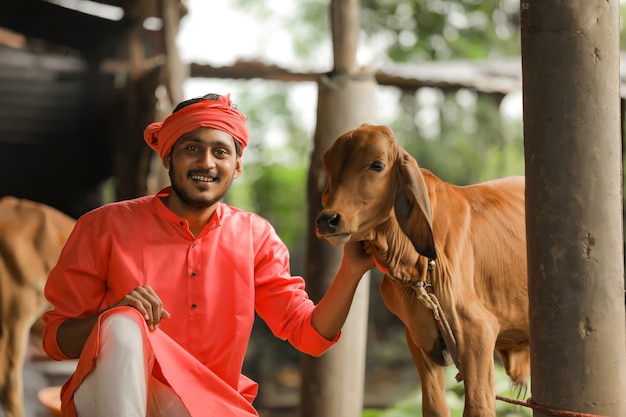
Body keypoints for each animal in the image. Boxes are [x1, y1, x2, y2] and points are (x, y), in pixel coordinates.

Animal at [312, 124, 528, 416]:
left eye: (377, 164)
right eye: (329, 168)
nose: (328, 220)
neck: (415, 268)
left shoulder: (477, 330)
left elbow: (478, 407)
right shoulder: (419, 337)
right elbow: (434, 407)